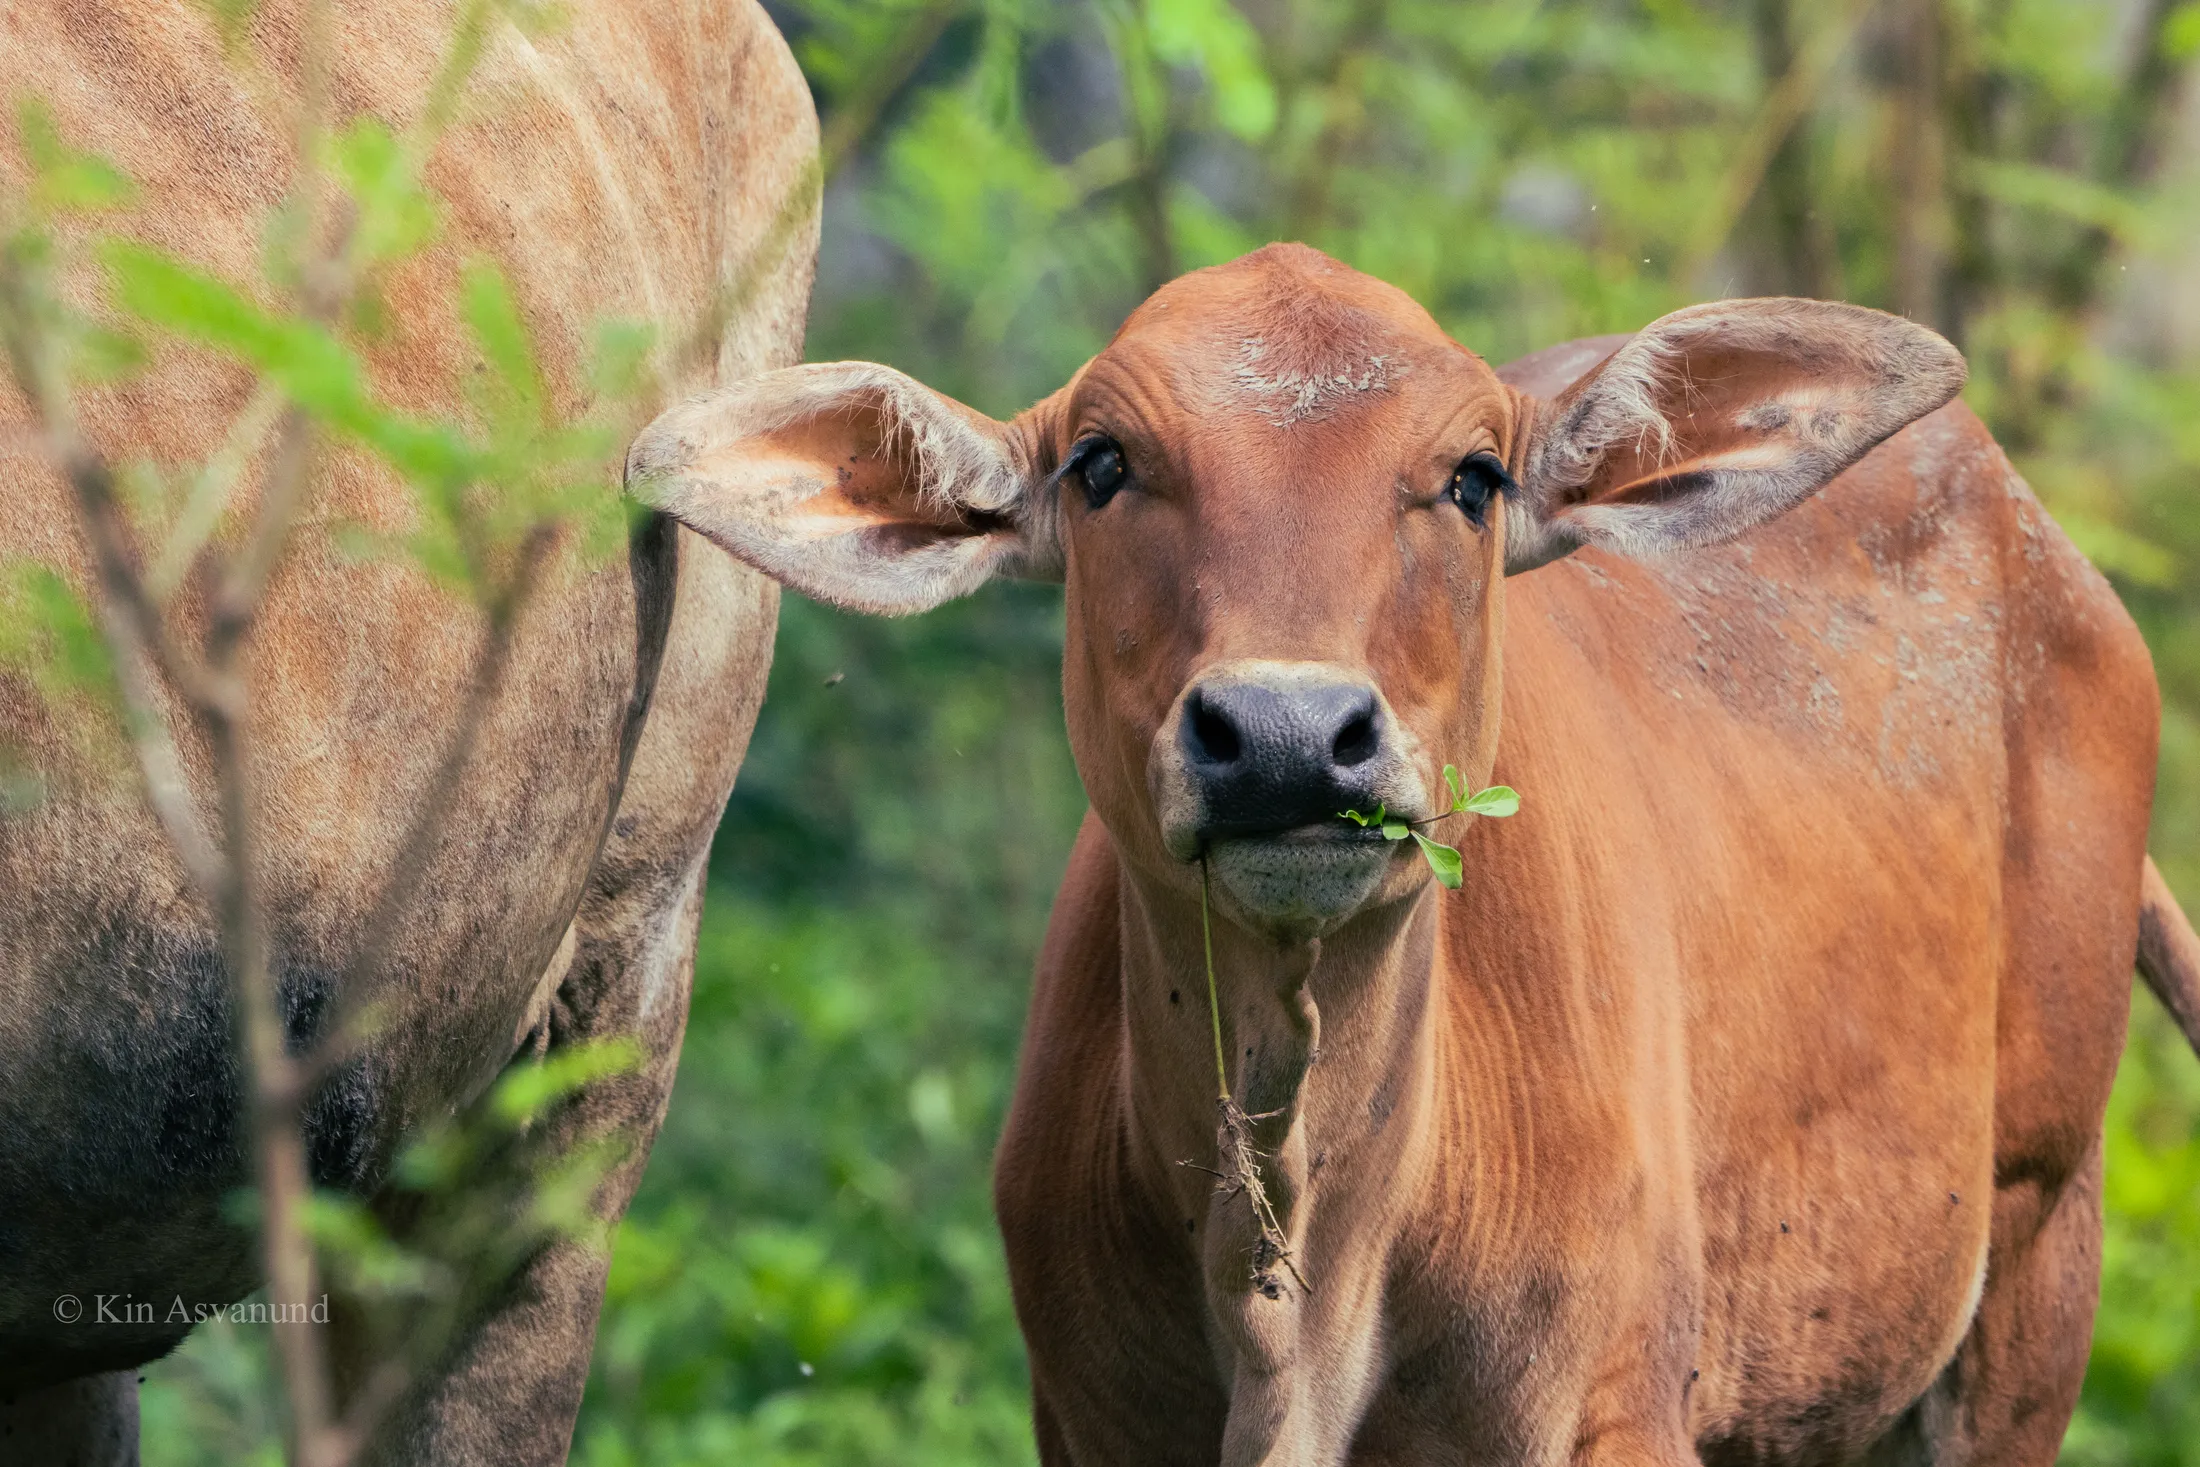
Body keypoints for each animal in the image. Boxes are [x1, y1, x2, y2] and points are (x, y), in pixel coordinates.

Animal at [631, 241, 2200, 1466]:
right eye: (1101, 463)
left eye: (1474, 474)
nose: (1284, 734)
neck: (1302, 1297)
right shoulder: (1084, 1412)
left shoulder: (1616, 1407)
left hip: (2036, 1253)